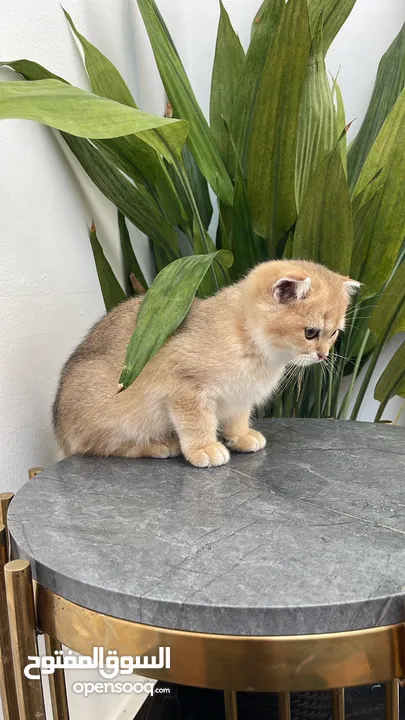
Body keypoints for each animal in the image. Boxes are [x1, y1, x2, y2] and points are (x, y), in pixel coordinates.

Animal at [52, 262, 356, 470]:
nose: (323, 355)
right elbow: (196, 423)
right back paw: (159, 444)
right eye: (311, 333)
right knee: (98, 445)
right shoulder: (183, 390)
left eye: (334, 333)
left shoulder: (239, 397)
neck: (247, 340)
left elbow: (237, 417)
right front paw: (205, 447)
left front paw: (240, 436)